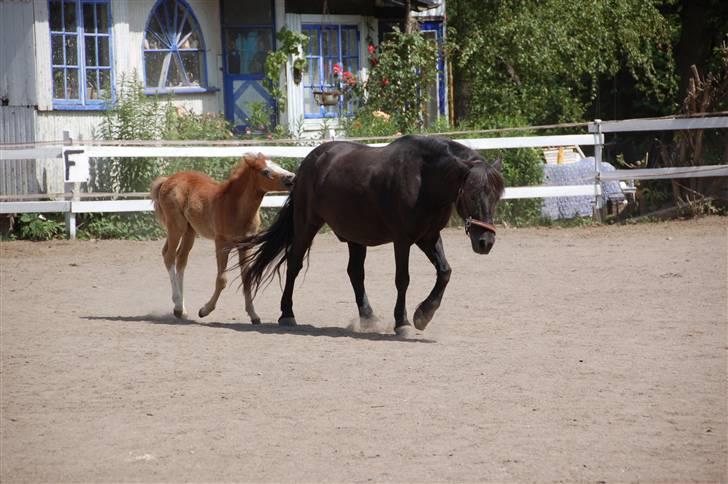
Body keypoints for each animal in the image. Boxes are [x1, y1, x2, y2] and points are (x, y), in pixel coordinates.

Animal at [150, 154, 292, 322]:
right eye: (266, 171)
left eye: (277, 165)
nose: (291, 177)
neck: (235, 206)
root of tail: (167, 180)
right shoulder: (221, 244)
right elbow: (221, 279)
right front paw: (205, 310)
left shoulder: (246, 246)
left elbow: (247, 278)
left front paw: (253, 315)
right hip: (176, 227)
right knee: (169, 256)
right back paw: (178, 307)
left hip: (189, 231)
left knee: (181, 260)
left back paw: (182, 310)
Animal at [242, 134, 504, 334]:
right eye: (471, 194)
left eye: (496, 196)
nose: (486, 241)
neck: (423, 180)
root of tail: (310, 161)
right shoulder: (403, 240)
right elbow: (403, 279)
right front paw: (403, 322)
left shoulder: (428, 237)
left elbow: (445, 272)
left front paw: (424, 314)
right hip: (307, 225)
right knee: (294, 264)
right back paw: (287, 313)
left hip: (356, 236)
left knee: (355, 273)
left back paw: (368, 317)